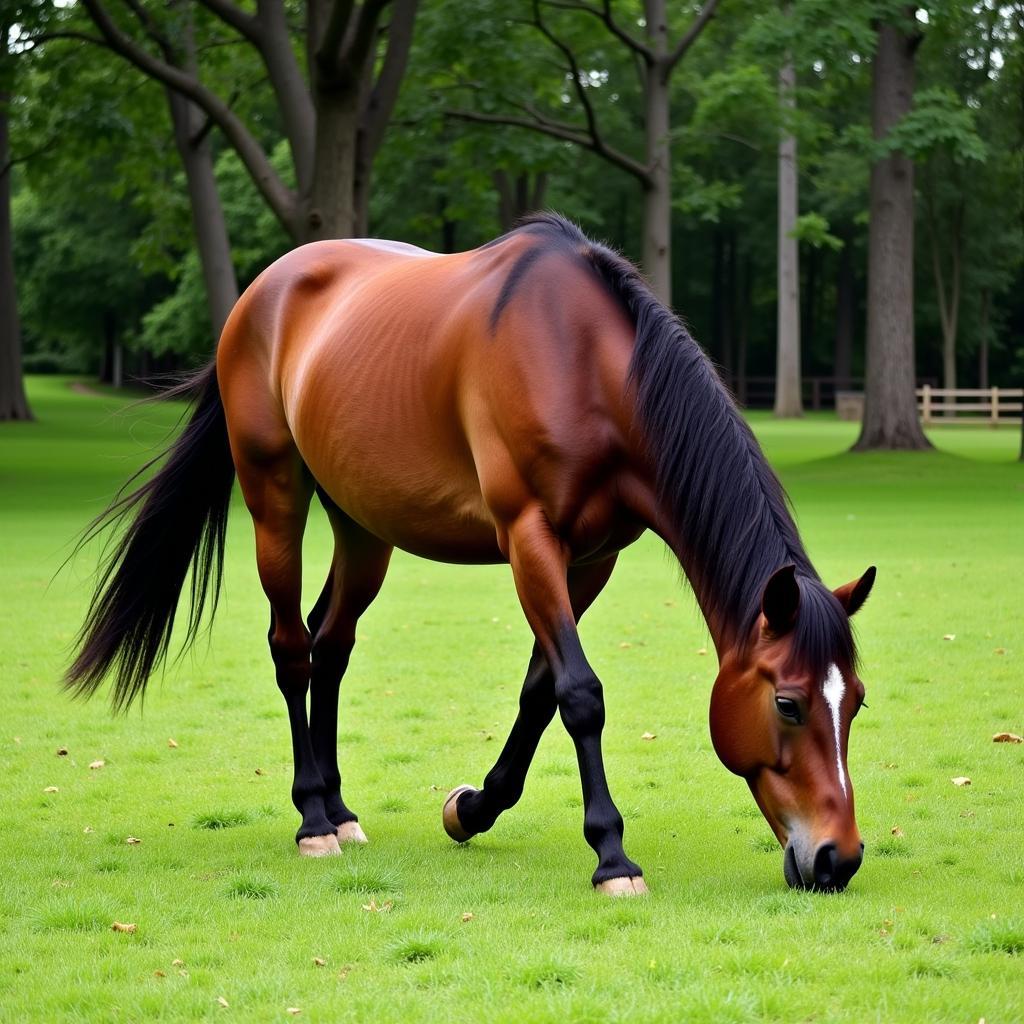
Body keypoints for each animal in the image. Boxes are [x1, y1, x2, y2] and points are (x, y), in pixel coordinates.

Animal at [68, 216, 876, 897]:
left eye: (857, 702)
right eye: (788, 703)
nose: (838, 858)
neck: (582, 363)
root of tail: (261, 294)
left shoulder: (590, 560)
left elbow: (541, 691)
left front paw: (473, 807)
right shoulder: (529, 539)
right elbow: (580, 693)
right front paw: (612, 857)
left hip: (363, 527)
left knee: (332, 646)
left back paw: (341, 807)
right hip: (275, 501)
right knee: (292, 648)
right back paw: (313, 820)